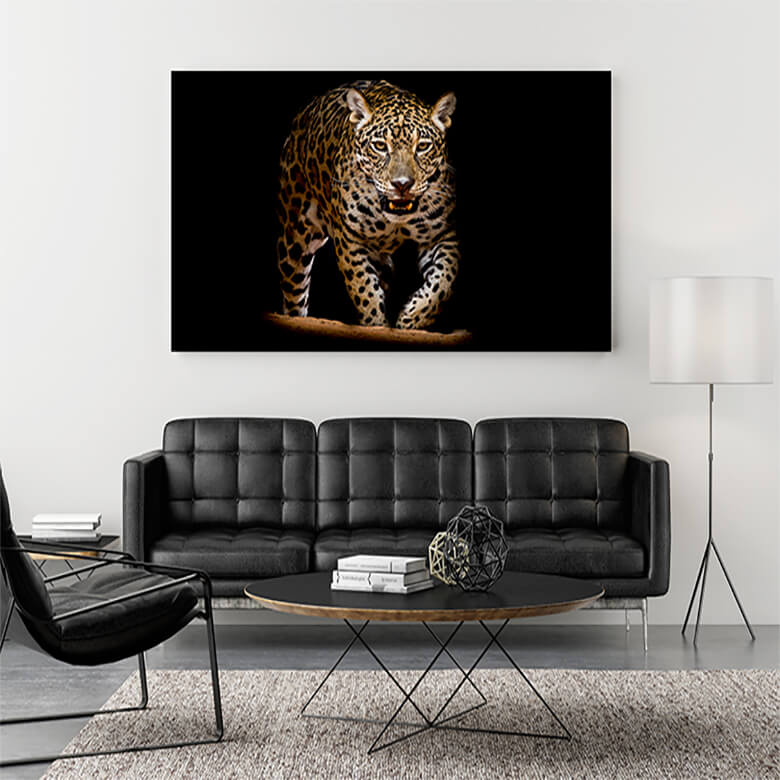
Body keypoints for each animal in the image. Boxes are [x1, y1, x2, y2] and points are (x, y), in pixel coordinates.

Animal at [276, 80, 459, 330]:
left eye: (422, 146)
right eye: (380, 146)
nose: (402, 184)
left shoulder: (442, 235)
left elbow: (443, 282)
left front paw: (410, 319)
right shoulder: (350, 239)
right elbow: (364, 289)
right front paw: (376, 323)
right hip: (295, 238)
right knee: (294, 293)